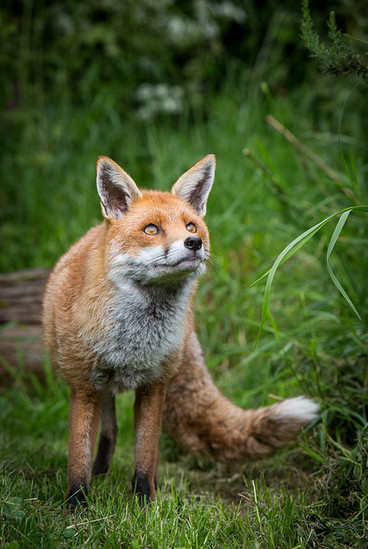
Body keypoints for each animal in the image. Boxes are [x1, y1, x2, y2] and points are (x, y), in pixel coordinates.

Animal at [42, 154, 320, 506]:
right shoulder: (83, 386)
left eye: (190, 226)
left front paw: (145, 502)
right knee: (109, 430)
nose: (194, 243)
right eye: (151, 229)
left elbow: (146, 453)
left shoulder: (154, 385)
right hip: (101, 386)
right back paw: (101, 473)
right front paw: (77, 504)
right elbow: (78, 452)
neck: (135, 339)